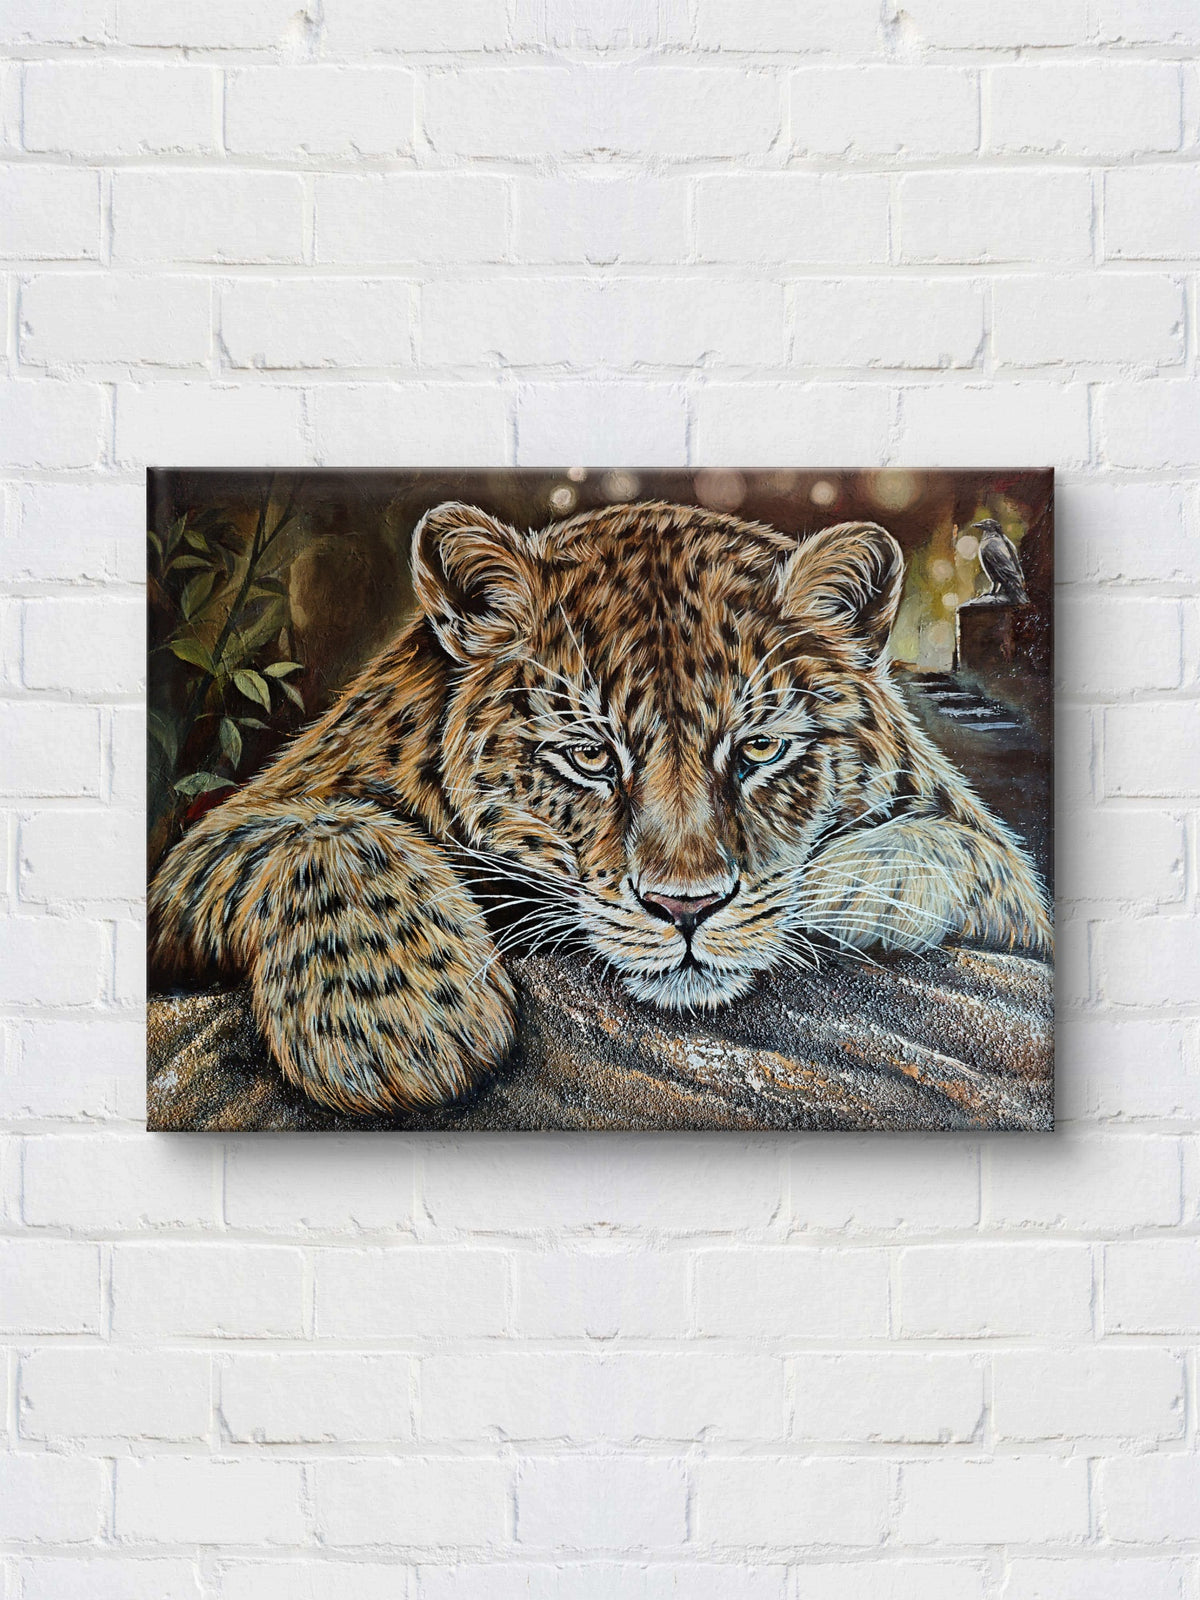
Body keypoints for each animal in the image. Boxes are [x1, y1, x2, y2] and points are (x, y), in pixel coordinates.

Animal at [149, 498, 1052, 1116]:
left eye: (760, 748)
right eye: (590, 757)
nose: (686, 909)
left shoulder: (1005, 877)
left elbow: (986, 857)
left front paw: (852, 884)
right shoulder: (230, 831)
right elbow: (318, 830)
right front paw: (392, 1030)